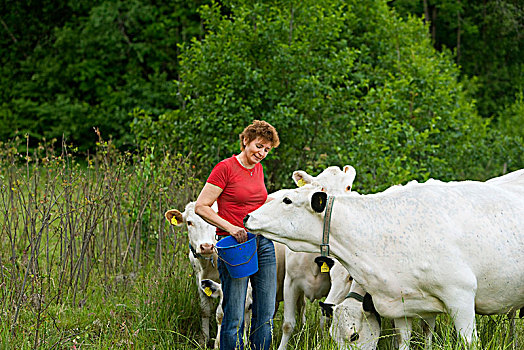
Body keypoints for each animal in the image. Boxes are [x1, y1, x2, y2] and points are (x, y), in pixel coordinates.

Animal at [246, 170, 524, 348]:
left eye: (287, 200)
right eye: (334, 339)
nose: (248, 216)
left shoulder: (461, 297)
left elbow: (468, 342)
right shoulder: (403, 304)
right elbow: (406, 341)